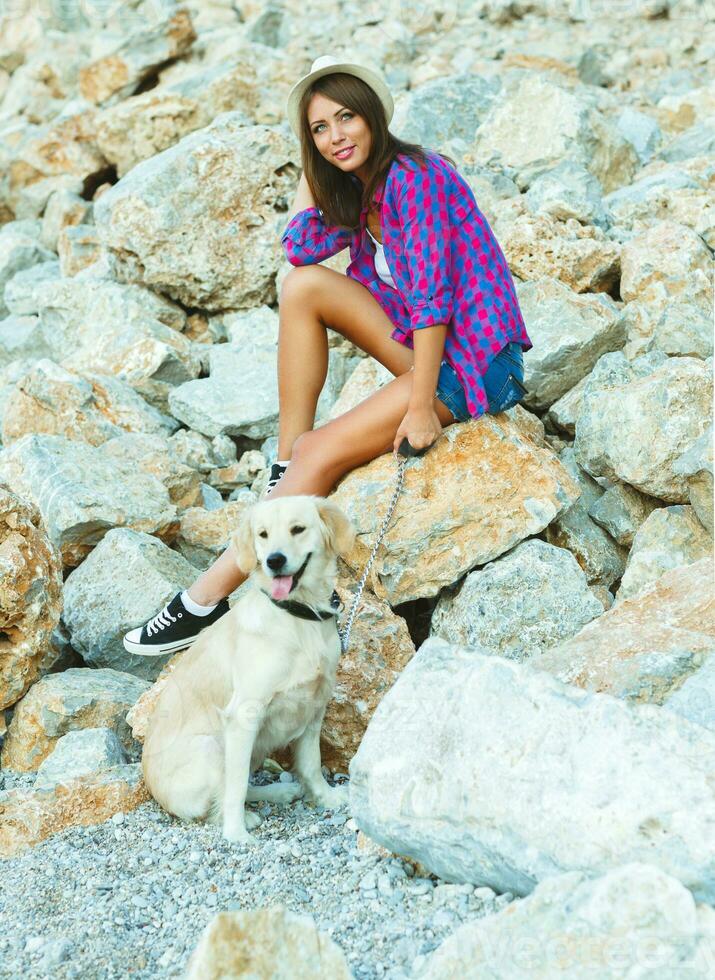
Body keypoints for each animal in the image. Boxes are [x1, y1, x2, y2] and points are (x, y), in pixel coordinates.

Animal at [141, 494, 356, 848]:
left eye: (298, 529)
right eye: (263, 534)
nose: (274, 561)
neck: (298, 615)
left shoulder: (315, 705)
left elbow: (311, 764)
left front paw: (325, 797)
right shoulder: (243, 715)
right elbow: (236, 785)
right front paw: (235, 833)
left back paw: (280, 791)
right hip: (212, 747)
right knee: (218, 796)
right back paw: (247, 816)